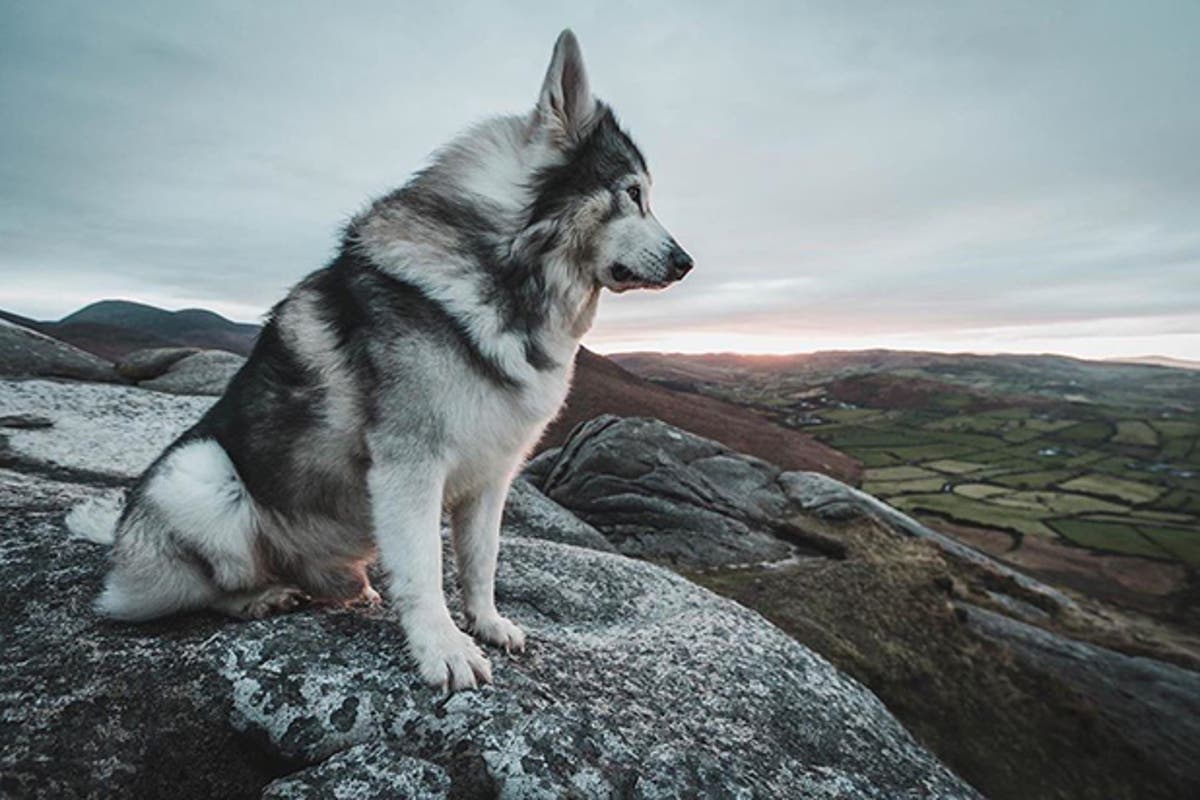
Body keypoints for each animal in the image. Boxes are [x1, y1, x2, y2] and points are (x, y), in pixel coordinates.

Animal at [72, 31, 696, 690]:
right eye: (633, 193)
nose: (687, 262)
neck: (508, 272)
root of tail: (117, 540)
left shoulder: (493, 475)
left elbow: (481, 561)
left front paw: (487, 623)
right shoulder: (410, 464)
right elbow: (423, 570)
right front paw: (443, 648)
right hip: (199, 475)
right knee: (196, 590)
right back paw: (259, 596)